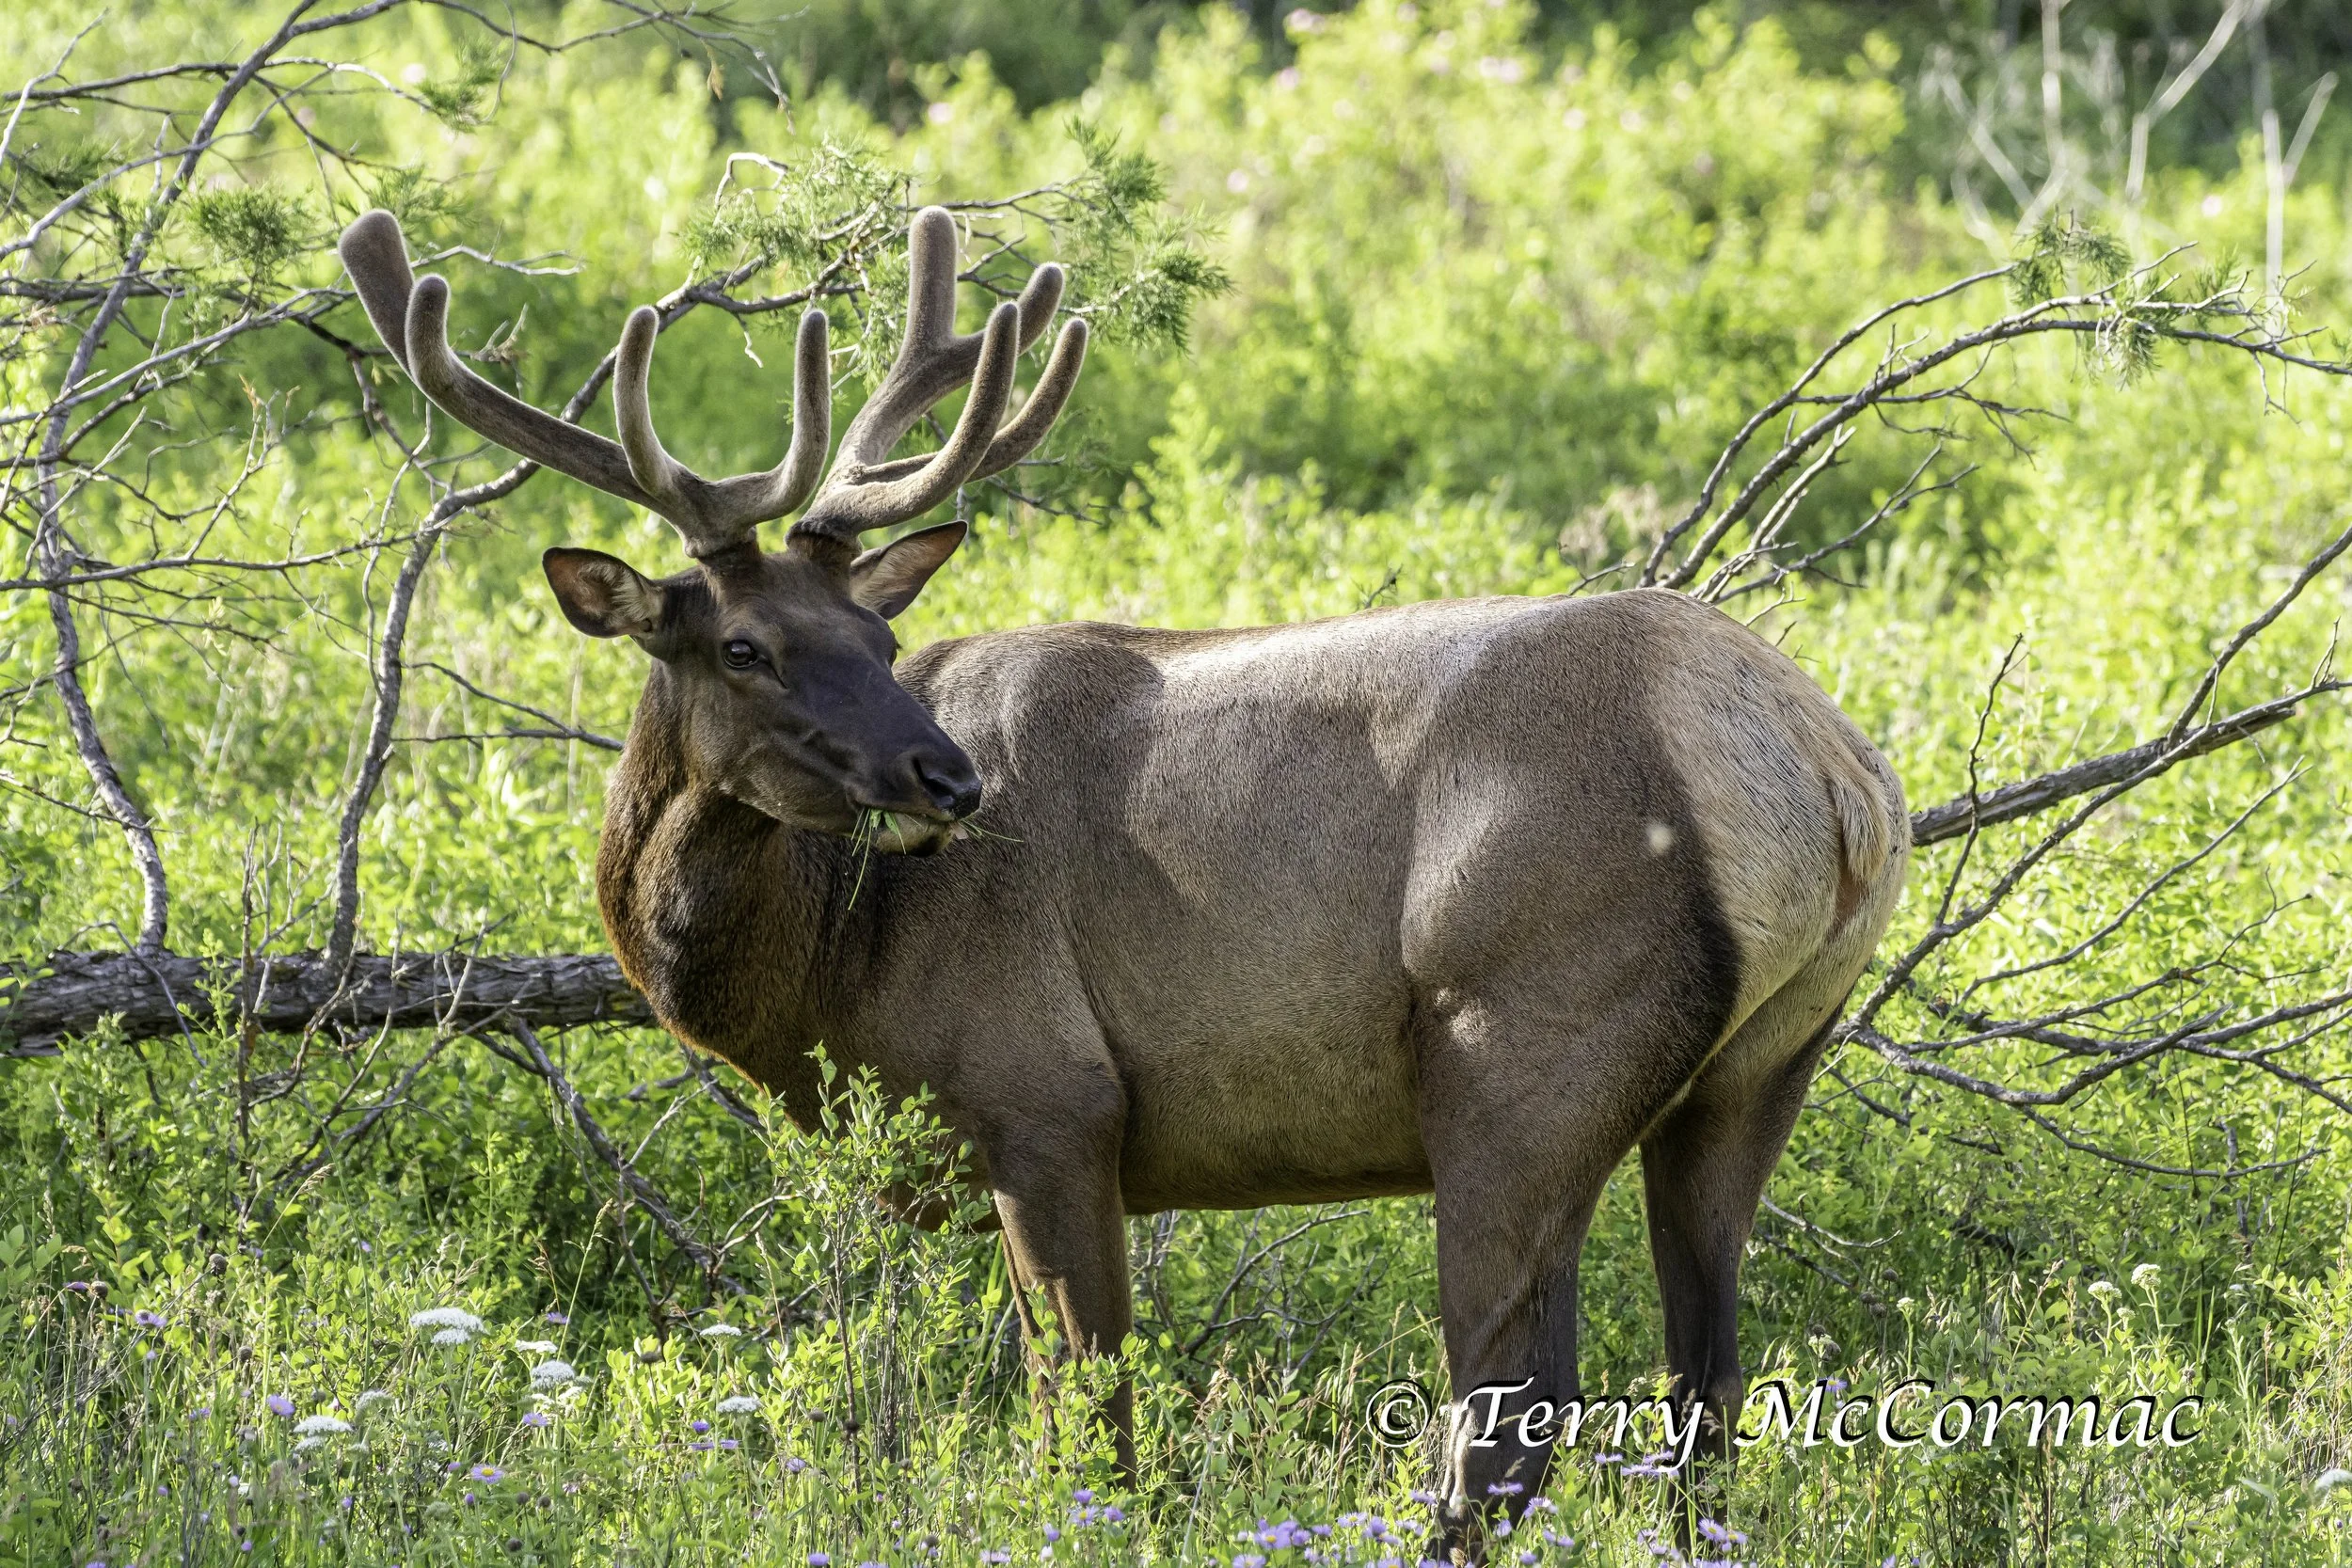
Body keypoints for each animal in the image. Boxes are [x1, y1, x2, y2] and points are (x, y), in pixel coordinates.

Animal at [337, 204, 1910, 1552]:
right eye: (746, 643)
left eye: (876, 635)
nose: (950, 780)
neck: (823, 975)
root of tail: (1833, 781)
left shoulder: (1048, 1097)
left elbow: (1086, 1424)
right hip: (1758, 1068)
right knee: (1709, 1395)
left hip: (1520, 1044)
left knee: (1513, 1411)